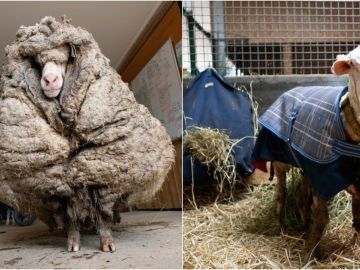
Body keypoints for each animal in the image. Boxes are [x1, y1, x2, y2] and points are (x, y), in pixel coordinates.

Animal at [0, 16, 174, 252]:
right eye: (37, 62)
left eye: (66, 58)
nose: (50, 81)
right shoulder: (60, 178)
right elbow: (70, 211)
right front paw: (73, 241)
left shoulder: (95, 166)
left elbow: (99, 208)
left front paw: (106, 240)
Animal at [252, 46, 360, 262]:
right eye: (354, 64)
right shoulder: (322, 178)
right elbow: (322, 218)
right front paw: (309, 254)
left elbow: (358, 218)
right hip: (281, 163)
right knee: (283, 194)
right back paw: (284, 229)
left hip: (306, 169)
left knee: (301, 197)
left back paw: (304, 228)